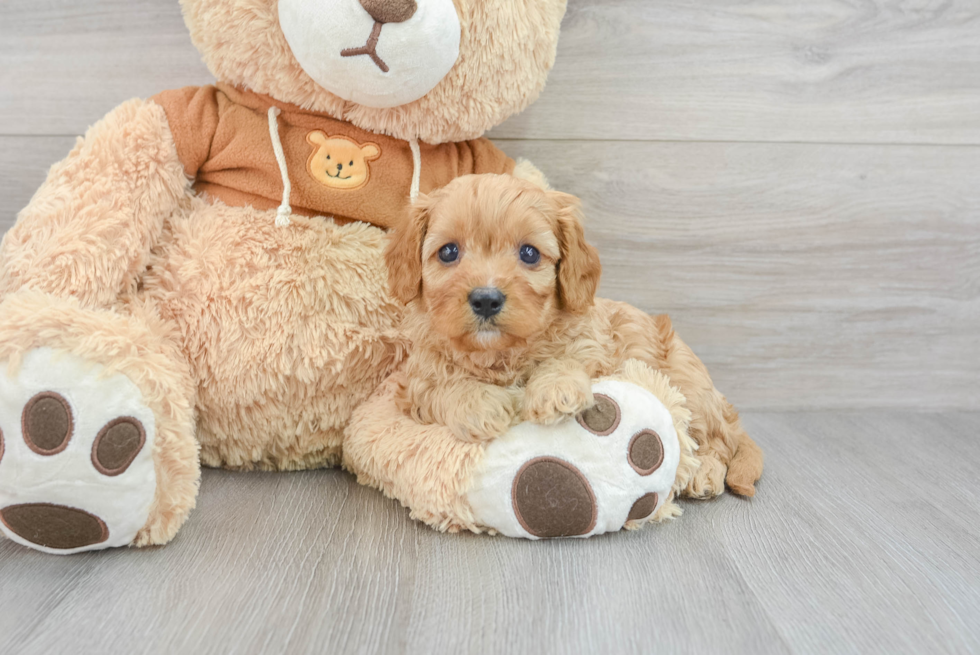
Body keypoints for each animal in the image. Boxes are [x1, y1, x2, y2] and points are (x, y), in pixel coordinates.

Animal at [384, 174, 764, 498]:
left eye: (529, 253)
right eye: (448, 252)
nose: (486, 299)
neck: (502, 354)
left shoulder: (594, 342)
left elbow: (569, 356)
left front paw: (555, 389)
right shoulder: (414, 380)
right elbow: (441, 385)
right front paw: (479, 404)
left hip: (689, 386)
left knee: (719, 441)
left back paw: (705, 473)